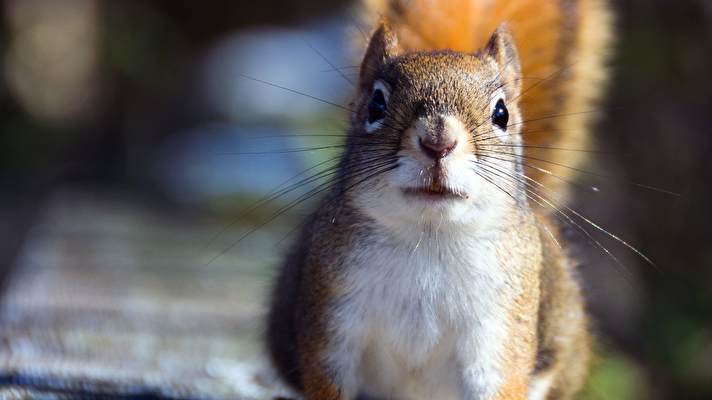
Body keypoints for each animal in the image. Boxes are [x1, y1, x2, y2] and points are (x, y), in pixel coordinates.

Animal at [268, 0, 612, 400]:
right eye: (375, 106)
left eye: (501, 113)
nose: (438, 141)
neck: (429, 236)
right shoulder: (332, 316)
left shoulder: (500, 330)